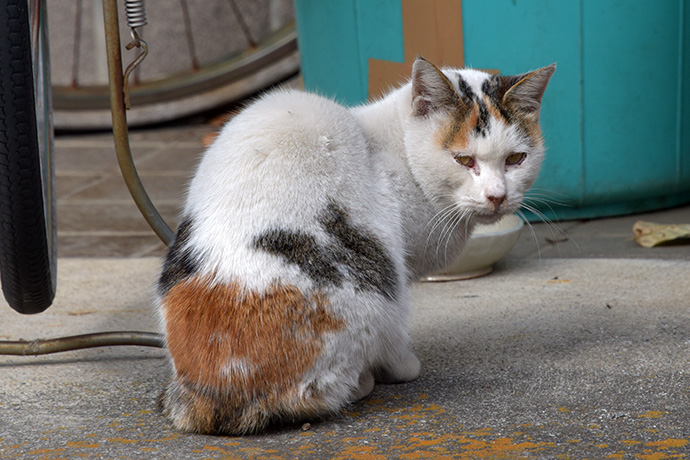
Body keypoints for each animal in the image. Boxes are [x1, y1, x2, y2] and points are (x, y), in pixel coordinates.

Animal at [156, 57, 552, 434]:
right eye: (464, 160)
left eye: (515, 159)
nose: (497, 196)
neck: (399, 152)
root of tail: (219, 391)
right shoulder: (399, 273)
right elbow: (396, 343)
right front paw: (403, 366)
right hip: (376, 291)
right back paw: (362, 382)